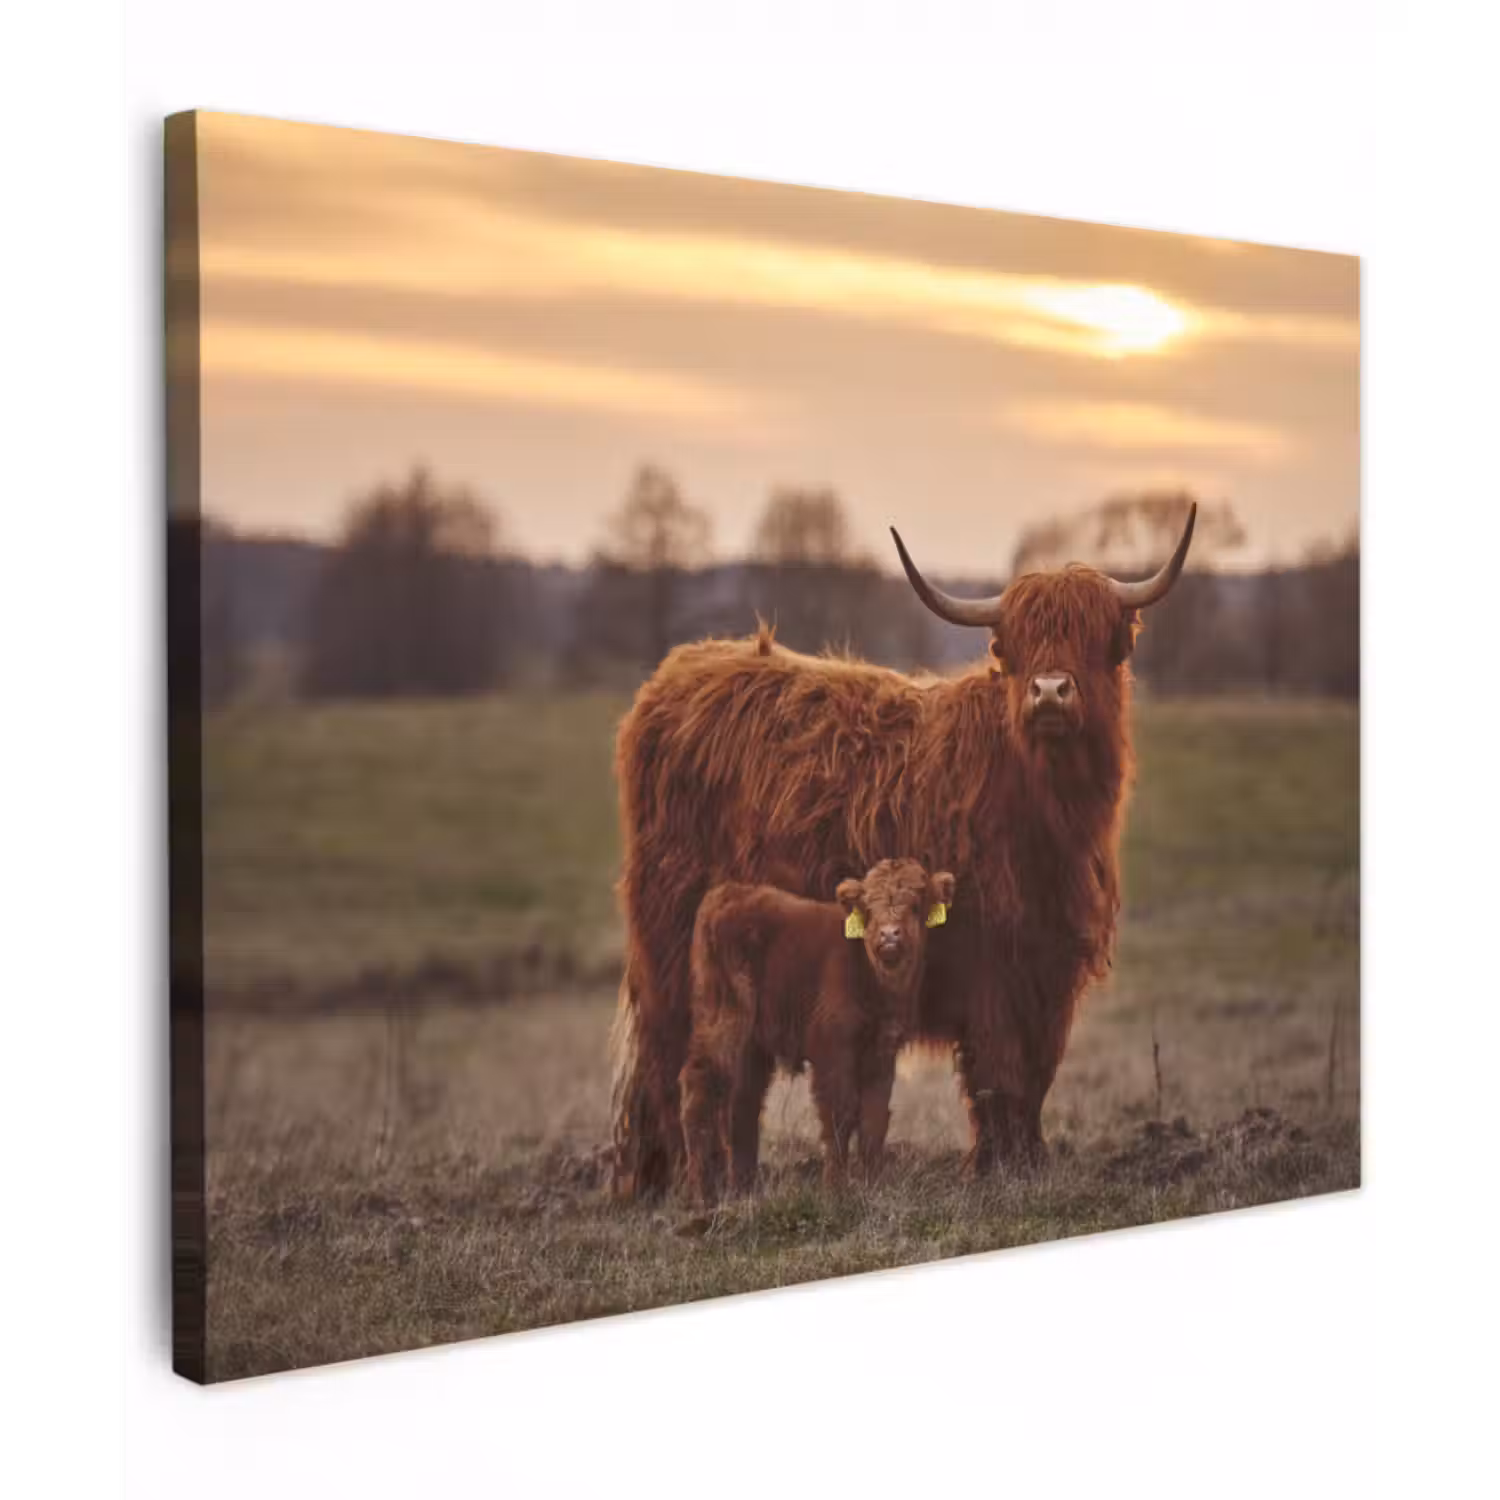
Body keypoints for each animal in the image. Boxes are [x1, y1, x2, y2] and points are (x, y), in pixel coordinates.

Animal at [681, 858, 957, 1204]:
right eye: (869, 907)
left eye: (917, 905)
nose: (889, 934)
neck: (874, 978)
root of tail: (727, 894)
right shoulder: (833, 1049)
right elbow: (840, 1113)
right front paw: (835, 1190)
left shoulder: (882, 1052)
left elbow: (874, 1117)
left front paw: (874, 1186)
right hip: (724, 1019)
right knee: (700, 1086)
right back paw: (700, 1196)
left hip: (751, 1044)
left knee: (742, 1104)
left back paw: (745, 1191)